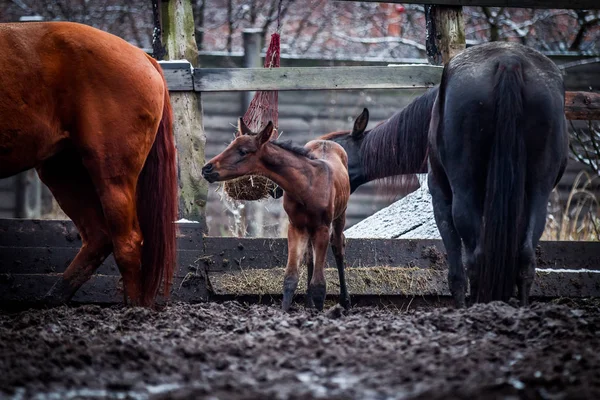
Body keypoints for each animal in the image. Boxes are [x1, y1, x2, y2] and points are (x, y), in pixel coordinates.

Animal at [0, 21, 177, 308]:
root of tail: (144, 57)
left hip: (109, 174)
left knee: (126, 242)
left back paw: (133, 308)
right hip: (62, 171)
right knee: (98, 237)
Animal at [202, 117, 352, 310]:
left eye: (243, 151)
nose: (207, 169)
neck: (306, 187)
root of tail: (327, 141)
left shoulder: (322, 228)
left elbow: (319, 284)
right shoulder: (296, 227)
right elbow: (290, 278)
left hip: (340, 216)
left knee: (338, 246)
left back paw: (345, 300)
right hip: (309, 229)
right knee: (309, 256)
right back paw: (309, 303)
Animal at [324, 42, 568, 306]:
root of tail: (509, 61)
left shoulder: (440, 195)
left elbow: (456, 272)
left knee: (476, 259)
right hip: (537, 192)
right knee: (525, 259)